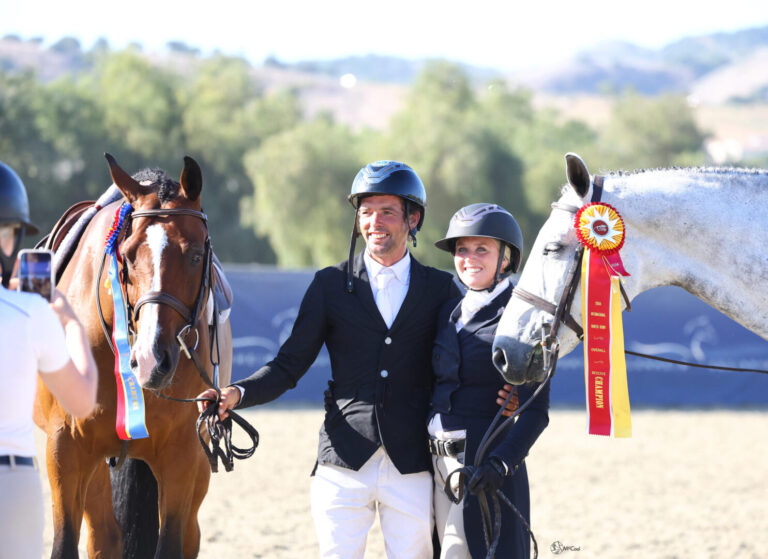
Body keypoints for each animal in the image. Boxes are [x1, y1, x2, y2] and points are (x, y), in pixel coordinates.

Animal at [34, 154, 231, 559]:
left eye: (197, 255)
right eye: (127, 255)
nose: (152, 360)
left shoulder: (182, 455)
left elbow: (171, 543)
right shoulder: (65, 449)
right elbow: (64, 544)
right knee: (104, 537)